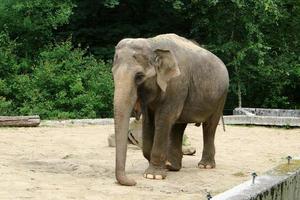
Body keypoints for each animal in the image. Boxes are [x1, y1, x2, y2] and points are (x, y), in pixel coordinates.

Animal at [112, 33, 230, 186]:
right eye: (113, 74)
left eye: (139, 76)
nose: (133, 181)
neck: (152, 43)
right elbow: (148, 121)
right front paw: (161, 168)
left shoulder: (176, 84)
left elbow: (163, 119)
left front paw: (153, 176)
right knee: (178, 127)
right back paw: (172, 166)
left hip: (221, 96)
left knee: (209, 126)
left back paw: (205, 166)